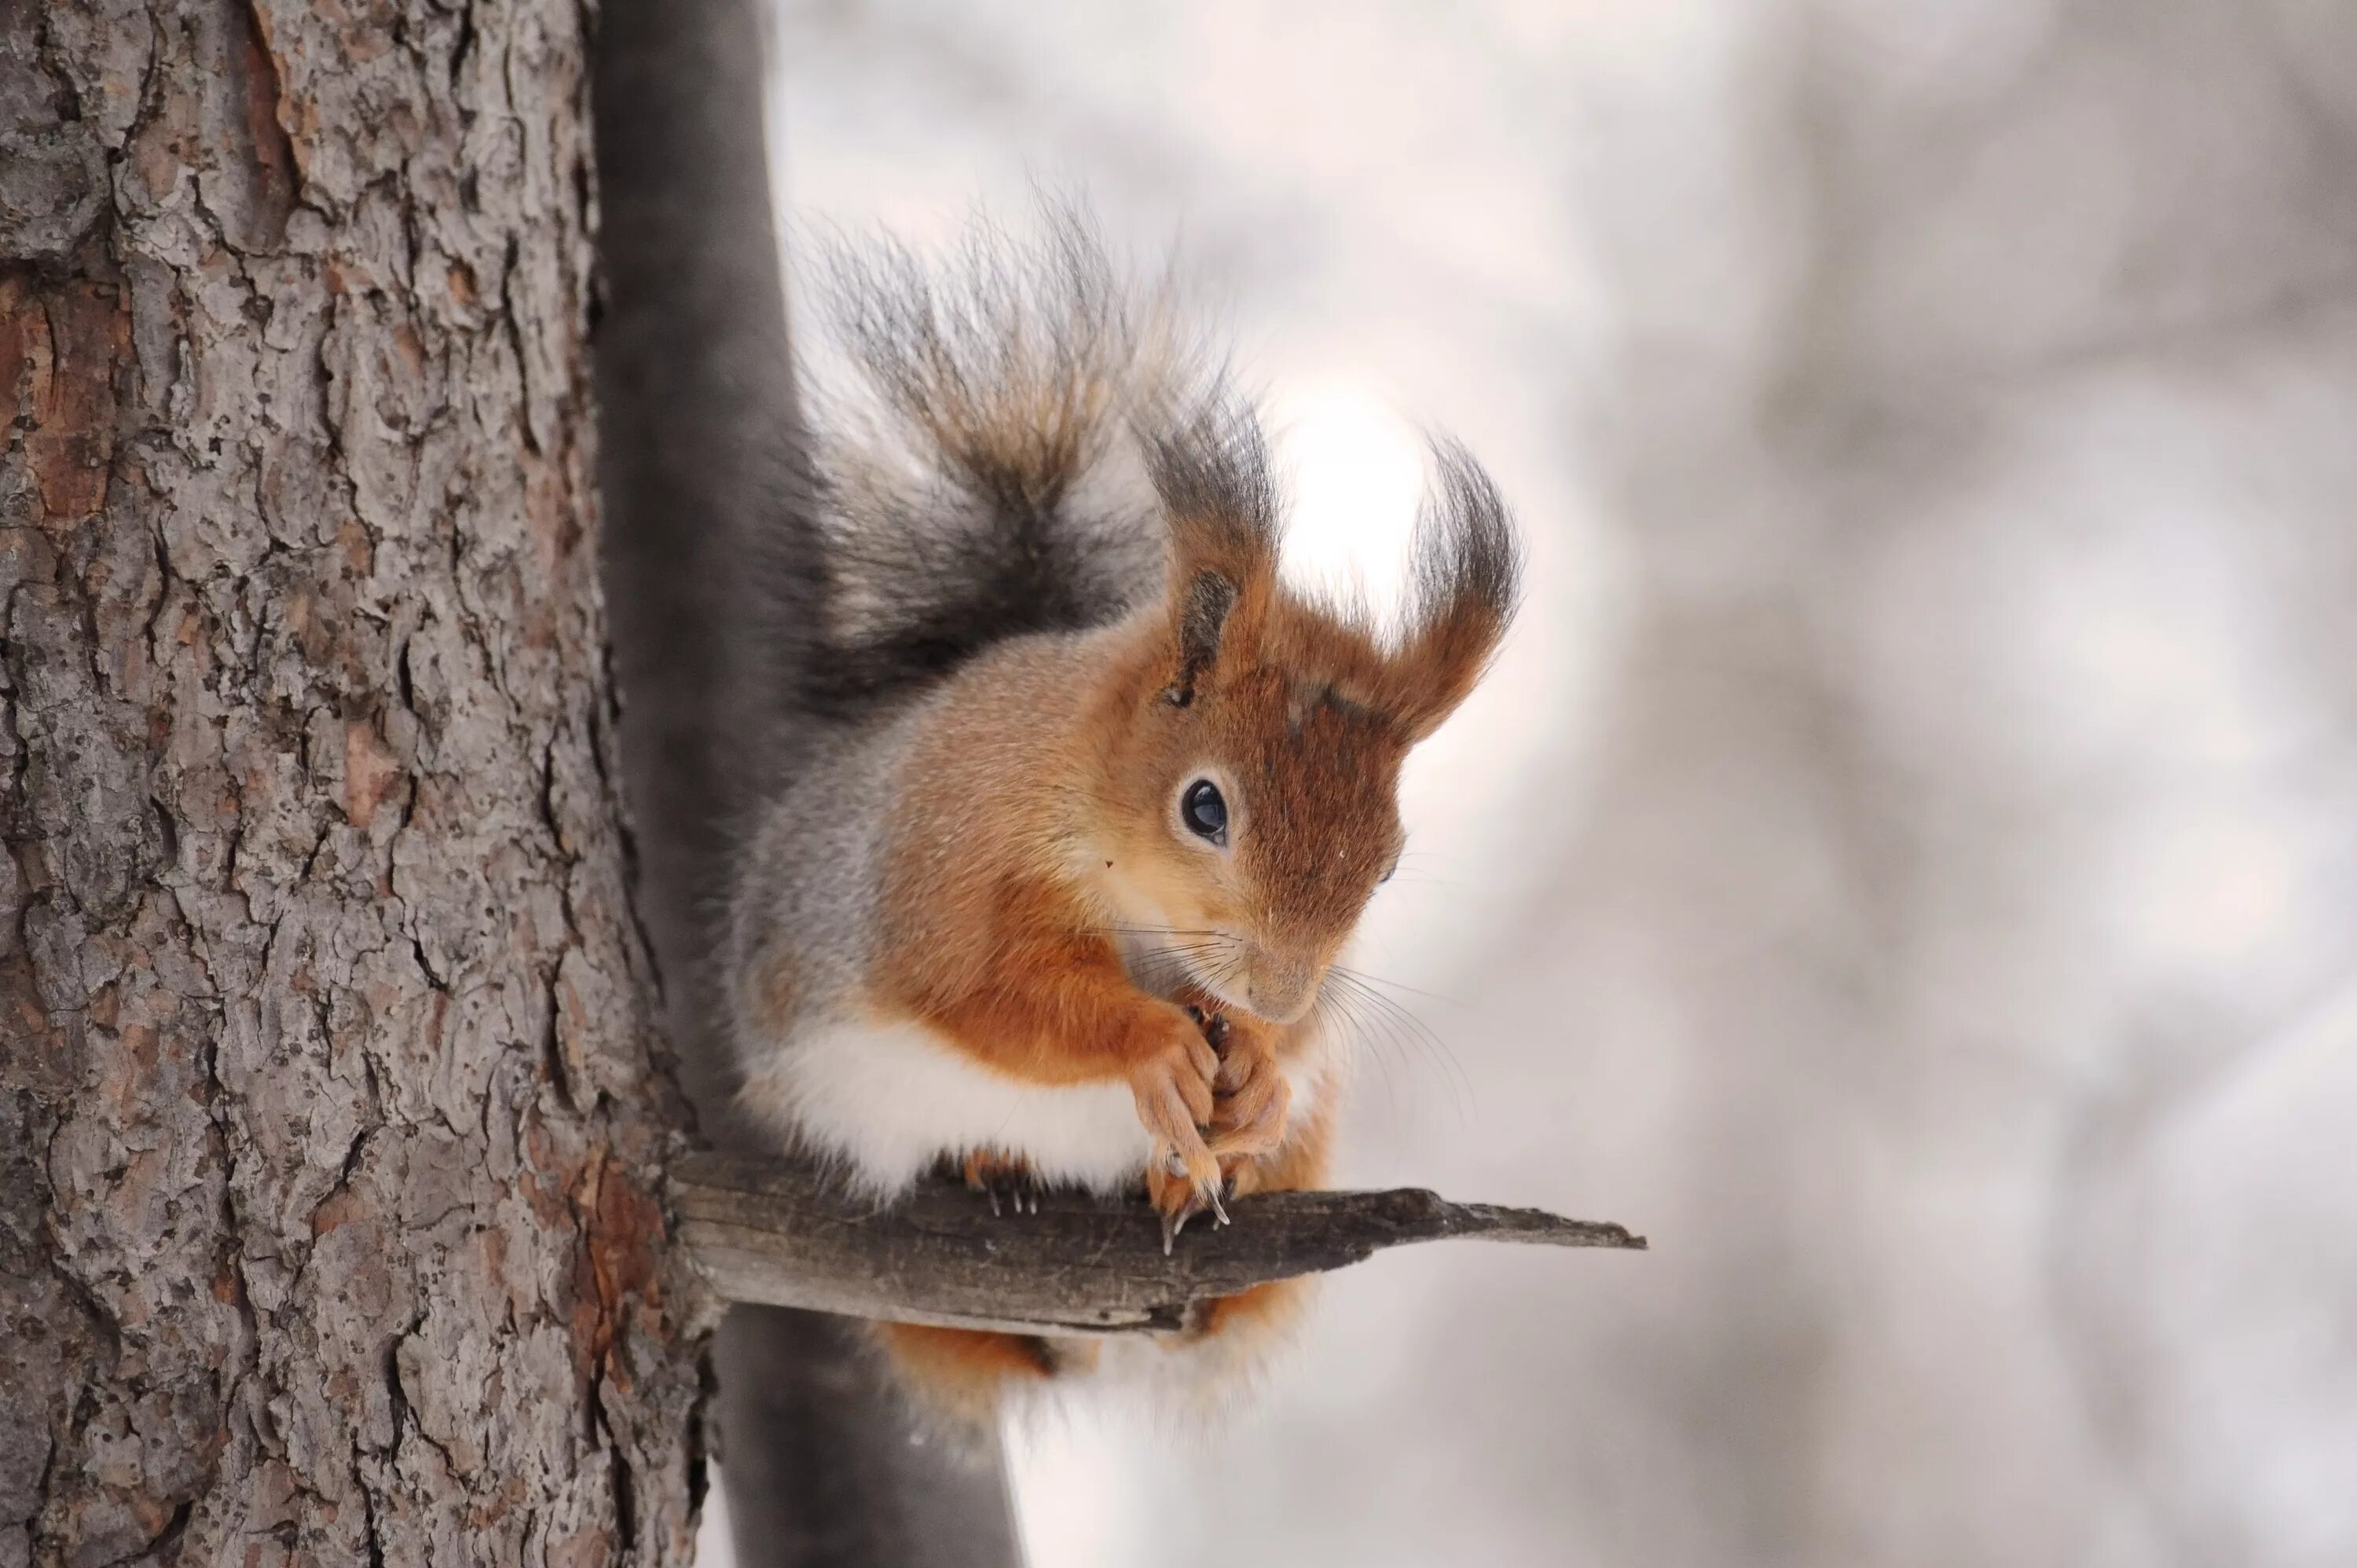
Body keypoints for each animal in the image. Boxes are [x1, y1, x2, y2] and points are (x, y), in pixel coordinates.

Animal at [726, 214, 1518, 1423]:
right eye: (1205, 805)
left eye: (1388, 865)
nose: (1277, 990)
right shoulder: (947, 870)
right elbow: (995, 1000)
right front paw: (1153, 1043)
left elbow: (1299, 1045)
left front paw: (1263, 1067)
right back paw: (1000, 1169)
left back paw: (1194, 1178)